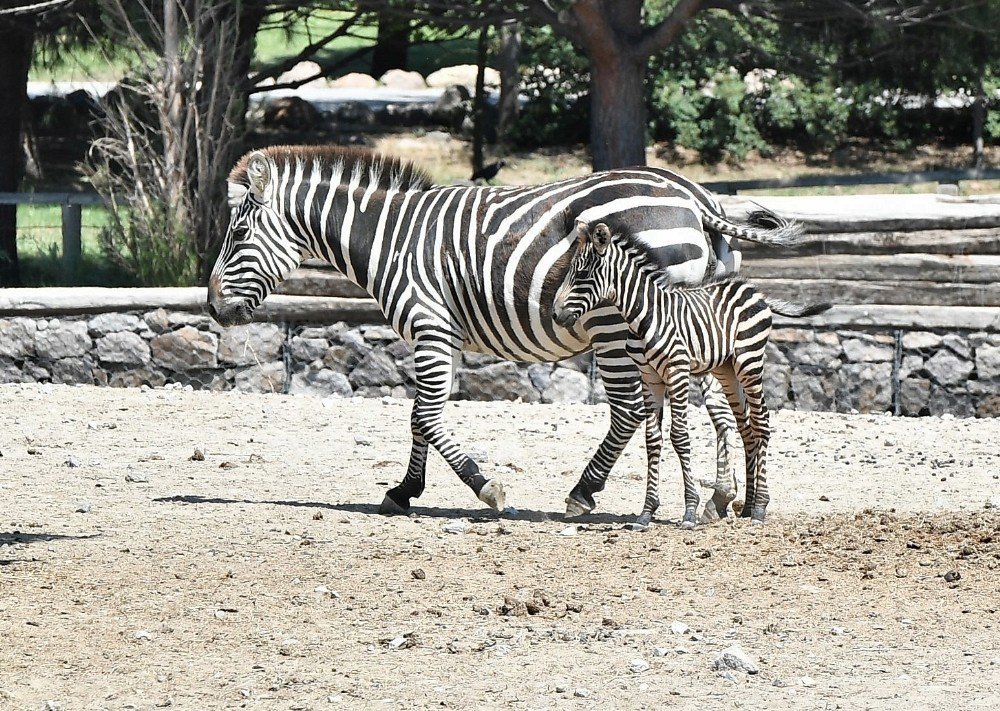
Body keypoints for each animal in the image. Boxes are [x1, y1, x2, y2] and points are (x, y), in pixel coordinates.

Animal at [207, 146, 800, 516]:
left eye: (238, 236)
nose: (212, 306)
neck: (391, 241)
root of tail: (698, 196)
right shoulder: (439, 334)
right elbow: (422, 413)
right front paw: (406, 489)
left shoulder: (429, 323)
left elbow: (427, 414)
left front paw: (485, 486)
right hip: (700, 321)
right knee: (717, 408)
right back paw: (724, 497)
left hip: (620, 324)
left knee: (629, 409)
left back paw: (585, 492)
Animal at [556, 222, 828, 528]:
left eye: (582, 274)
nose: (555, 315)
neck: (644, 317)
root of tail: (751, 288)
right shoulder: (649, 377)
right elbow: (653, 440)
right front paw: (646, 512)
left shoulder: (678, 371)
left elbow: (679, 436)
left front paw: (689, 510)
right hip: (727, 370)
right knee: (746, 428)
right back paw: (746, 507)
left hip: (749, 362)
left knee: (761, 424)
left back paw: (759, 508)